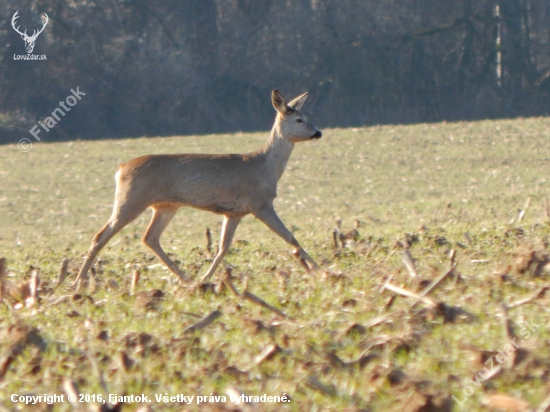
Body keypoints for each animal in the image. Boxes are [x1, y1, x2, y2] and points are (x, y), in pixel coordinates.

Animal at [75, 89, 322, 286]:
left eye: (307, 117)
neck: (265, 166)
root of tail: (120, 169)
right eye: (299, 119)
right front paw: (320, 270)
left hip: (165, 205)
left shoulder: (234, 212)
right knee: (101, 236)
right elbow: (290, 237)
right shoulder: (259, 203)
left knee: (150, 237)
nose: (318, 132)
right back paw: (79, 281)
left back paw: (185, 278)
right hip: (131, 199)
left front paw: (206, 278)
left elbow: (223, 247)